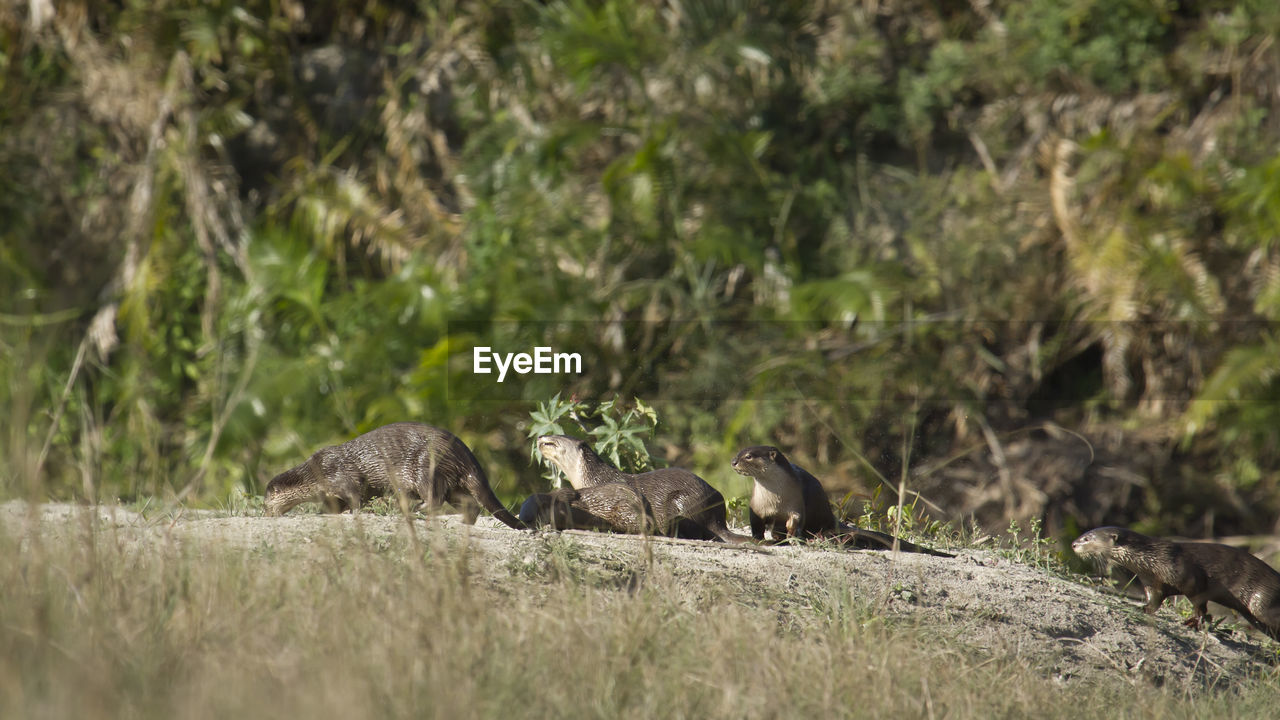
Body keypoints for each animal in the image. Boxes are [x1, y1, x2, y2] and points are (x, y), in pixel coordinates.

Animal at [264, 420, 524, 527]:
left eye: (266, 503)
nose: (266, 514)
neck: (316, 473)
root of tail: (464, 451)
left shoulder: (340, 475)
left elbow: (356, 495)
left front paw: (353, 513)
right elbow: (337, 504)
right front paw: (326, 513)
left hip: (426, 467)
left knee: (434, 497)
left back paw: (416, 509)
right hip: (455, 483)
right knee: (470, 503)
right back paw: (464, 523)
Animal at [732, 443, 952, 556]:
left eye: (749, 456)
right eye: (739, 452)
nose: (733, 461)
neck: (775, 498)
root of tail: (832, 519)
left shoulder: (796, 504)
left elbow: (796, 522)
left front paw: (793, 536)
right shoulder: (756, 507)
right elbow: (756, 525)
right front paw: (758, 538)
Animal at [1070, 525, 1280, 635]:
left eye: (1087, 538)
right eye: (1084, 534)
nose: (1073, 544)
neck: (1155, 559)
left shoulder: (1189, 577)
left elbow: (1199, 603)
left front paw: (1195, 622)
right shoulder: (1152, 581)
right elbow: (1154, 599)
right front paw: (1142, 608)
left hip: (1263, 602)